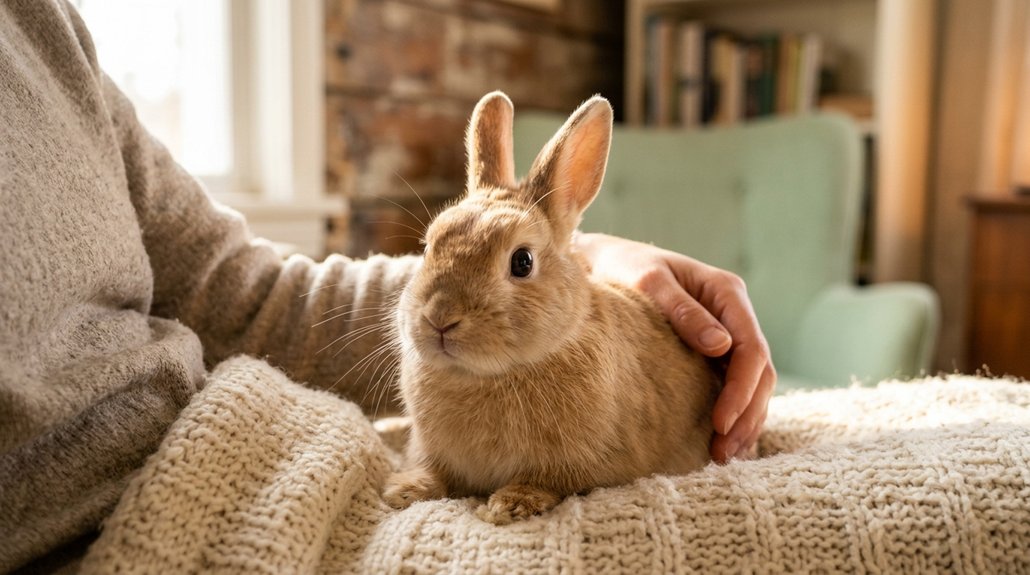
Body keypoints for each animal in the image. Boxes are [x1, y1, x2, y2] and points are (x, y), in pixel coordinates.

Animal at [382, 91, 722, 525]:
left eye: (522, 262)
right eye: (428, 248)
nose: (440, 319)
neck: (492, 374)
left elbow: (548, 481)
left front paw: (511, 504)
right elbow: (433, 471)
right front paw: (404, 490)